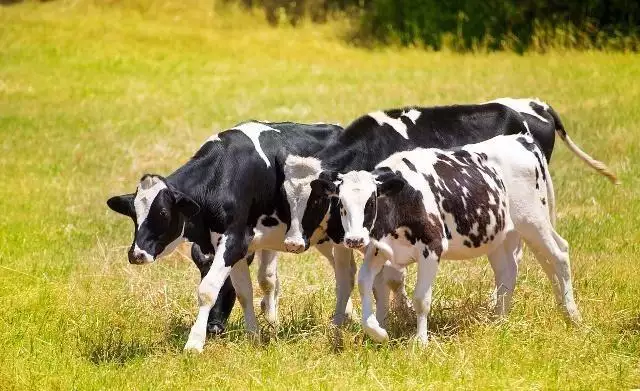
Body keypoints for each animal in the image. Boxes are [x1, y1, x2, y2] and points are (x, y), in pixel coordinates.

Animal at [322, 135, 588, 346]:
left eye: (371, 202)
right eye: (341, 204)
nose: (354, 239)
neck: (404, 198)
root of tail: (522, 140)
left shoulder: (432, 248)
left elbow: (421, 299)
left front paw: (421, 342)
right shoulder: (380, 250)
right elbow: (365, 283)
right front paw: (377, 332)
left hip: (533, 221)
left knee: (558, 256)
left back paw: (572, 315)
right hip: (502, 235)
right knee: (508, 272)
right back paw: (499, 321)